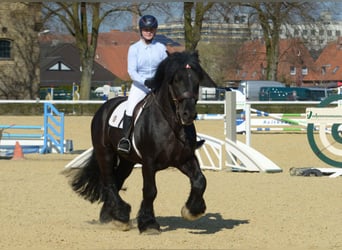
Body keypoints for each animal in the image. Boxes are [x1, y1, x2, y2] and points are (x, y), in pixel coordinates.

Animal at [66, 50, 216, 234]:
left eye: (196, 80)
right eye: (176, 80)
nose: (188, 114)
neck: (171, 124)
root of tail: (104, 108)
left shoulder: (184, 159)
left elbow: (200, 181)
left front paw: (192, 210)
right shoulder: (149, 162)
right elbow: (151, 191)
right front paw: (148, 223)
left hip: (127, 161)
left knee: (117, 180)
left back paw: (110, 216)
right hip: (105, 153)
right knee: (109, 182)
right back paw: (121, 215)